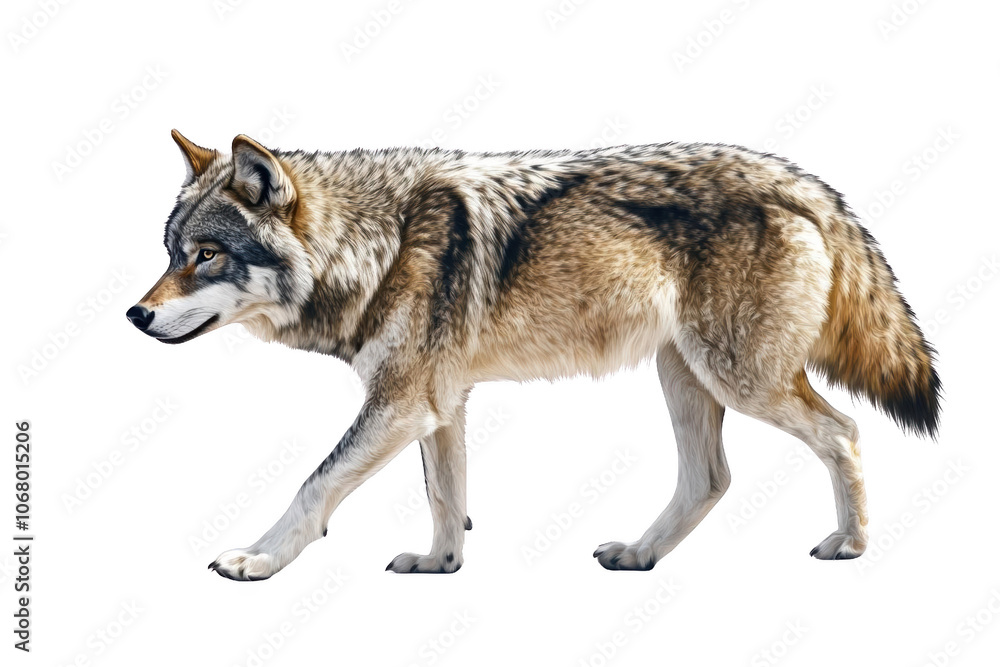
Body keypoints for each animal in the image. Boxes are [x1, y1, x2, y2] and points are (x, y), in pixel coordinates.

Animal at [127, 130, 940, 579]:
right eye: (169, 253)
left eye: (206, 254)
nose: (136, 314)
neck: (379, 246)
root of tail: (804, 180)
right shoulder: (439, 403)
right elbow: (445, 495)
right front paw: (441, 564)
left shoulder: (401, 401)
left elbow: (313, 485)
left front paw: (258, 559)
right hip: (684, 375)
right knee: (711, 478)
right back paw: (639, 554)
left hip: (741, 380)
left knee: (843, 432)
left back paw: (851, 543)